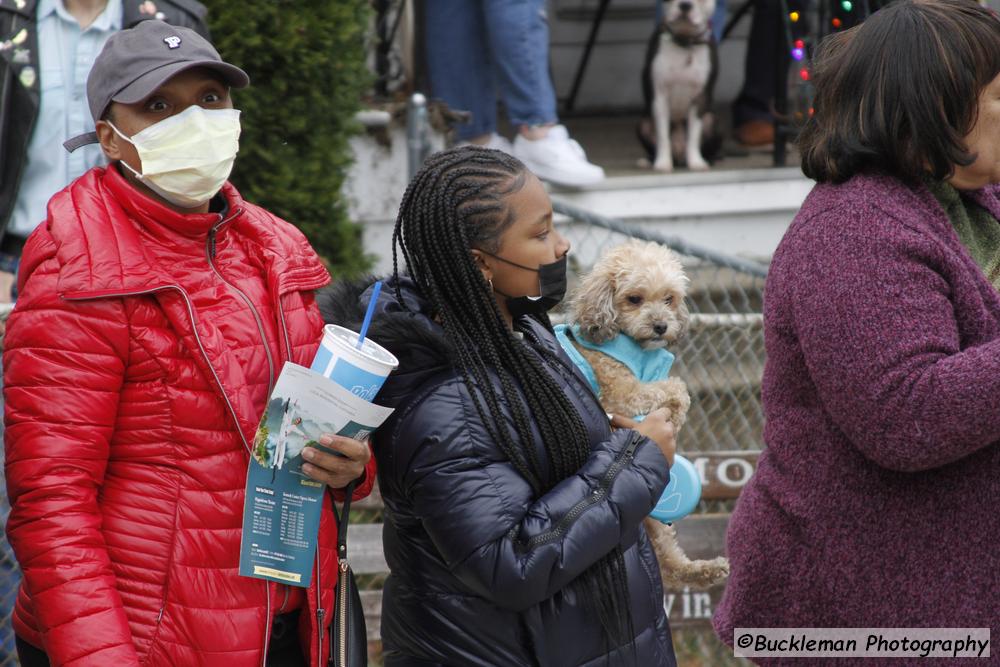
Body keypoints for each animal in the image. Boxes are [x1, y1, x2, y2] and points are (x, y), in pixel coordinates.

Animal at [640, 0, 720, 172]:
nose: (685, 4)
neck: (685, 42)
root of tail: (679, 157)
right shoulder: (660, 97)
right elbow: (662, 134)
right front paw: (662, 163)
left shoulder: (701, 98)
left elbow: (694, 134)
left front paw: (696, 162)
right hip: (643, 124)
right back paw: (648, 160)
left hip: (711, 121)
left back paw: (710, 160)